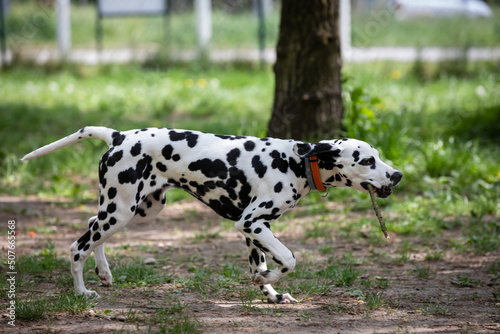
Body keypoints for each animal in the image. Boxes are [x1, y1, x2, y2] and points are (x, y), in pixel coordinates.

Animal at [23, 126, 402, 304]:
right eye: (368, 160)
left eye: (378, 155)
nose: (397, 175)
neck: (295, 161)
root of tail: (118, 136)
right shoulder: (251, 223)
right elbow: (289, 259)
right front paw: (268, 281)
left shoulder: (255, 230)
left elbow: (260, 265)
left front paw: (271, 294)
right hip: (121, 210)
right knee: (77, 247)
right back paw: (82, 292)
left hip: (136, 211)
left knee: (91, 228)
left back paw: (103, 273)